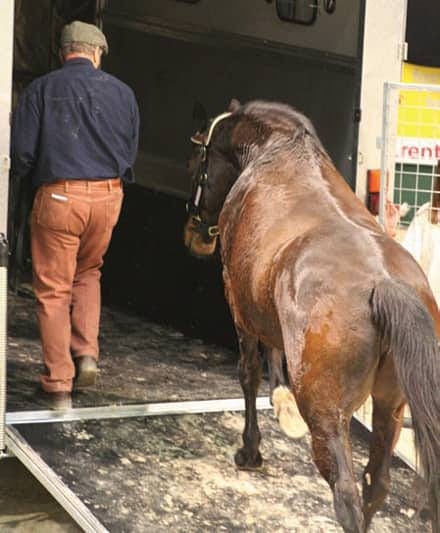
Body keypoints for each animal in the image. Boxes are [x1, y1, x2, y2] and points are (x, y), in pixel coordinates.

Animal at [182, 100, 440, 532]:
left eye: (198, 160)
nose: (194, 232)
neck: (276, 150)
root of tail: (384, 285)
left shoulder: (239, 305)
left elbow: (249, 373)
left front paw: (251, 450)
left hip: (327, 416)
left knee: (347, 494)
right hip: (390, 406)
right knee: (375, 485)